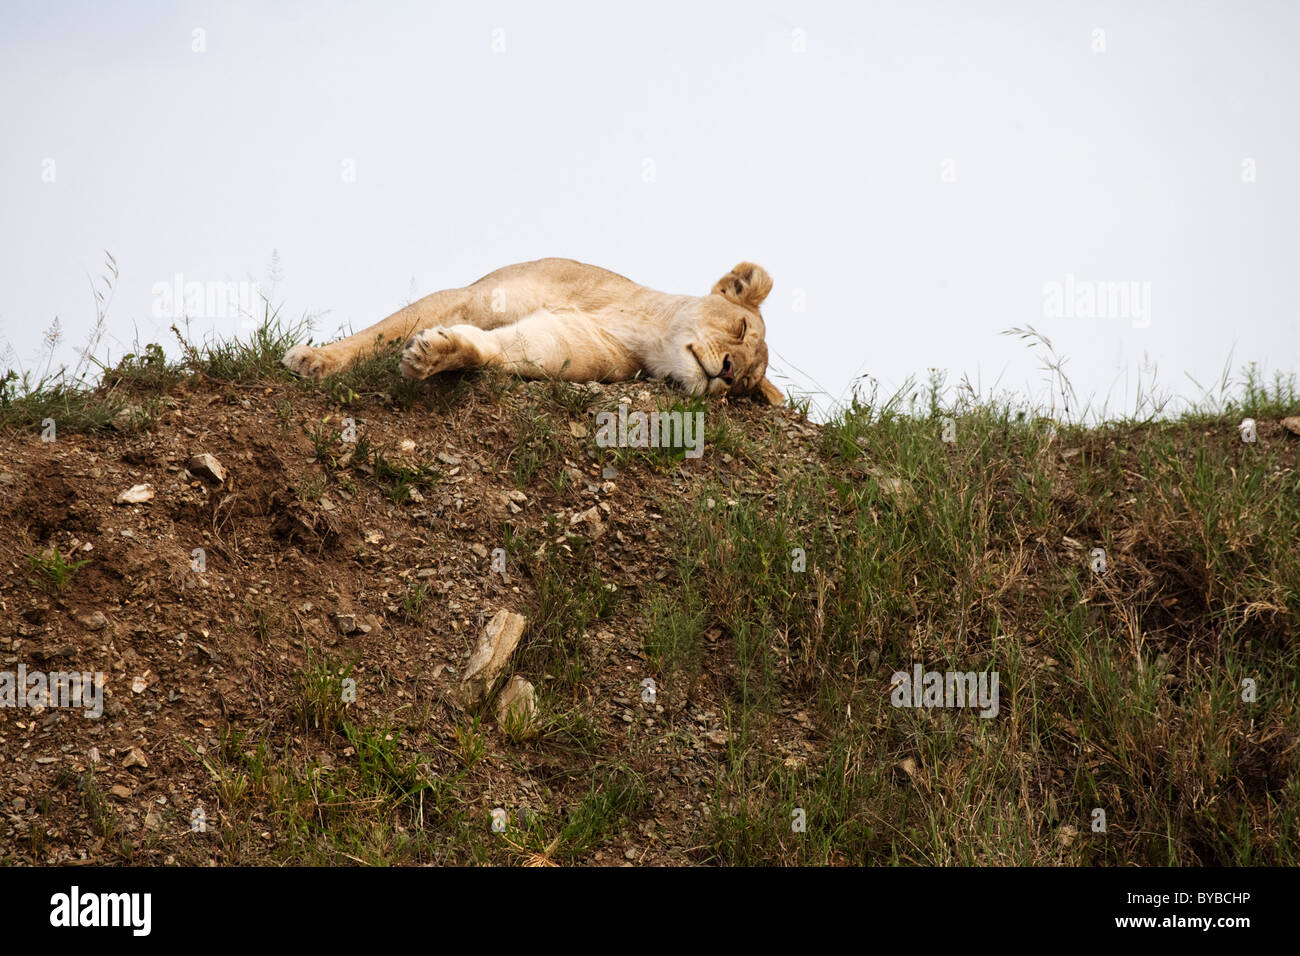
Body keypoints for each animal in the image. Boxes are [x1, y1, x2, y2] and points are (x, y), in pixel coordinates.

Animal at [281, 258, 784, 404]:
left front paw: (440, 353)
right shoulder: (472, 296)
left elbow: (500, 349)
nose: (727, 373)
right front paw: (316, 359)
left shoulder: (562, 347)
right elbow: (379, 334)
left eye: (744, 384)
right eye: (740, 326)